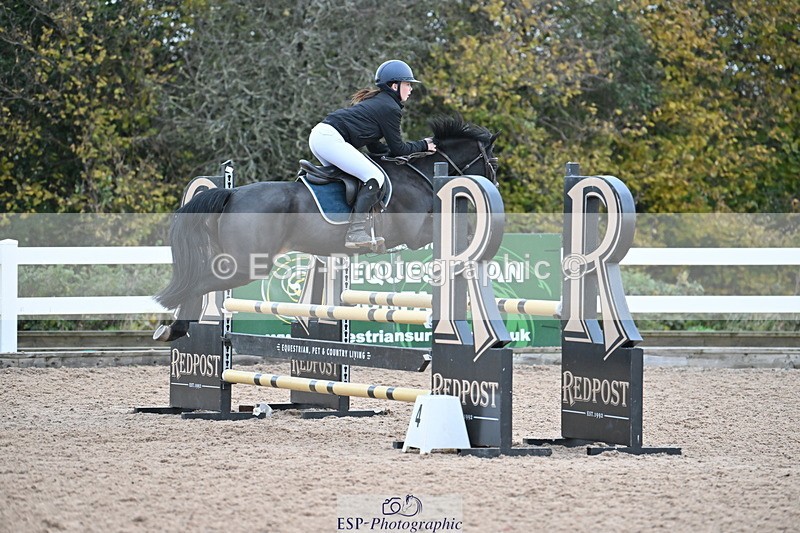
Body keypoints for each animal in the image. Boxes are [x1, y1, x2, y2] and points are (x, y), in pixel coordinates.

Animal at [153, 115, 499, 341]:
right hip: (246, 265)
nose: (494, 185)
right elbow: (465, 236)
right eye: (492, 162)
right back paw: (173, 328)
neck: (421, 173)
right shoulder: (416, 234)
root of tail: (232, 193)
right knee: (198, 282)